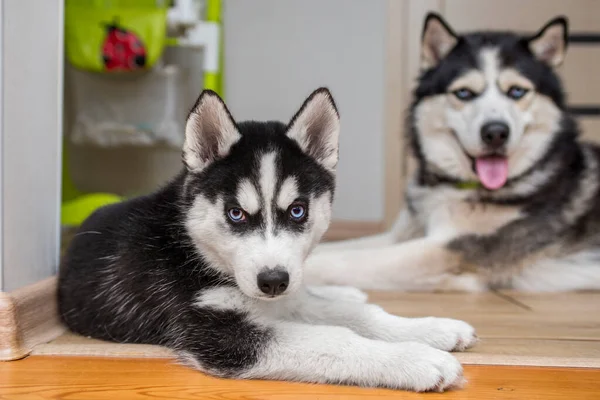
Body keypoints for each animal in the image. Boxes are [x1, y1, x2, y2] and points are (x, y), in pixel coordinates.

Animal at [59, 89, 478, 392]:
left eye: (297, 211)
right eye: (235, 214)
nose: (273, 281)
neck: (194, 247)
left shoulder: (282, 298)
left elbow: (356, 316)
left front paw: (432, 329)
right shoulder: (218, 334)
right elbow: (334, 339)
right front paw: (417, 359)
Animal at [308, 14, 600, 294]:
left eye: (517, 91)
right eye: (464, 93)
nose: (496, 132)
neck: (455, 187)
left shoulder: (448, 251)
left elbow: (341, 260)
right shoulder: (401, 235)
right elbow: (333, 246)